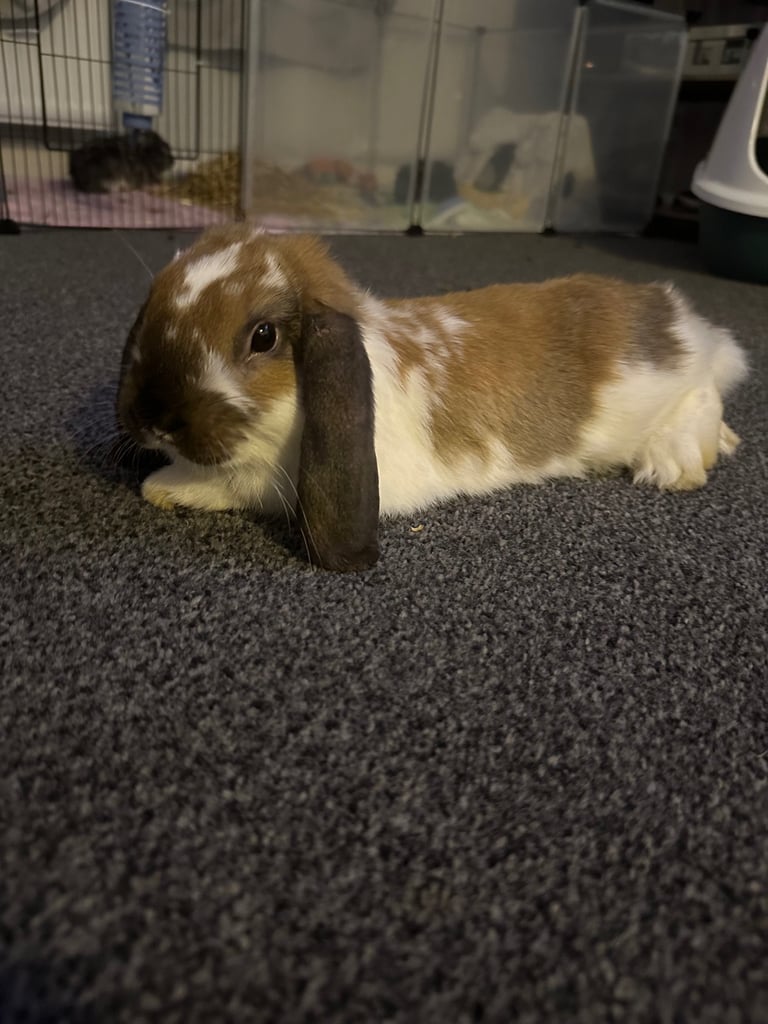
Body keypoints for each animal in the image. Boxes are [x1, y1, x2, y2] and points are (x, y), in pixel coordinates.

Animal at [116, 223, 748, 571]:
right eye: (150, 305)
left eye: (263, 336)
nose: (153, 417)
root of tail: (673, 310)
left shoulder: (277, 481)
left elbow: (231, 484)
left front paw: (163, 485)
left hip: (664, 389)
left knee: (708, 386)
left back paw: (680, 462)